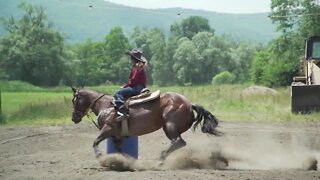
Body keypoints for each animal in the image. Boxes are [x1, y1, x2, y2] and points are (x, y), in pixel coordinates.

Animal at [70, 87, 220, 159]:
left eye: (73, 100)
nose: (73, 118)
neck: (105, 105)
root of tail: (189, 104)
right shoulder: (117, 136)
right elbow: (120, 151)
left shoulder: (107, 129)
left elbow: (95, 141)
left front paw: (99, 155)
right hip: (169, 128)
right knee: (178, 142)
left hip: (170, 125)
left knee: (178, 141)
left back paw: (161, 157)